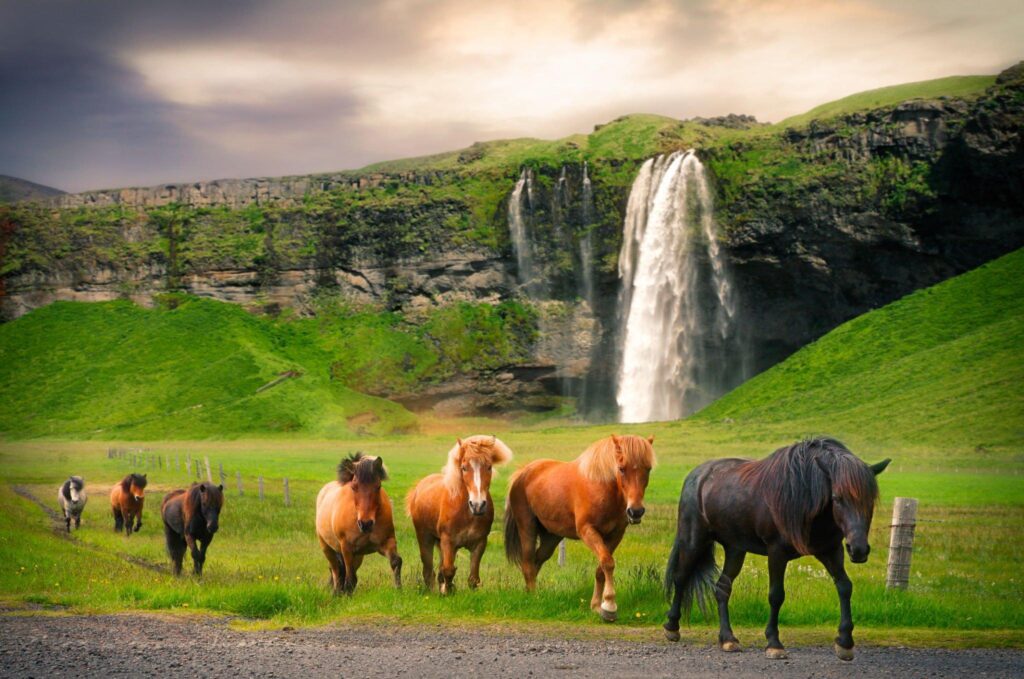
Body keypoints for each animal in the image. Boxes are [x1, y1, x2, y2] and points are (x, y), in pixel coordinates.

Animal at [313, 456, 401, 593]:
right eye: (354, 487)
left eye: (378, 486)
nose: (366, 524)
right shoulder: (347, 548)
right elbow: (350, 579)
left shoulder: (386, 542)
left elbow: (396, 562)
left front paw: (399, 589)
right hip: (327, 548)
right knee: (336, 570)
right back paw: (336, 592)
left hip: (359, 556)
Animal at [405, 438, 516, 593]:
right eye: (464, 468)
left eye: (489, 467)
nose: (477, 505)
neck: (467, 514)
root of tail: (418, 487)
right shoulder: (448, 541)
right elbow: (448, 571)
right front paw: (448, 592)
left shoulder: (479, 543)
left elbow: (473, 578)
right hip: (425, 538)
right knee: (428, 571)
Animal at [503, 436, 655, 622]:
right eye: (621, 468)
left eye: (648, 469)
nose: (636, 511)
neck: (602, 486)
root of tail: (523, 472)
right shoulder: (587, 531)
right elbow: (607, 563)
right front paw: (609, 606)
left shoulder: (615, 535)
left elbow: (602, 567)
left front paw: (597, 606)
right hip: (527, 529)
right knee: (528, 562)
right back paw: (533, 597)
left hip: (551, 537)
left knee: (536, 561)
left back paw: (529, 593)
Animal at [663, 438, 888, 659]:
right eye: (837, 498)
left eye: (870, 500)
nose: (858, 549)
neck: (804, 496)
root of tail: (697, 474)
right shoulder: (777, 552)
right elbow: (776, 595)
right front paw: (774, 643)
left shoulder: (831, 550)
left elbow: (844, 587)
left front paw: (845, 642)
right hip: (694, 541)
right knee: (681, 578)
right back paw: (672, 627)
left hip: (735, 549)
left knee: (722, 588)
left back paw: (727, 639)